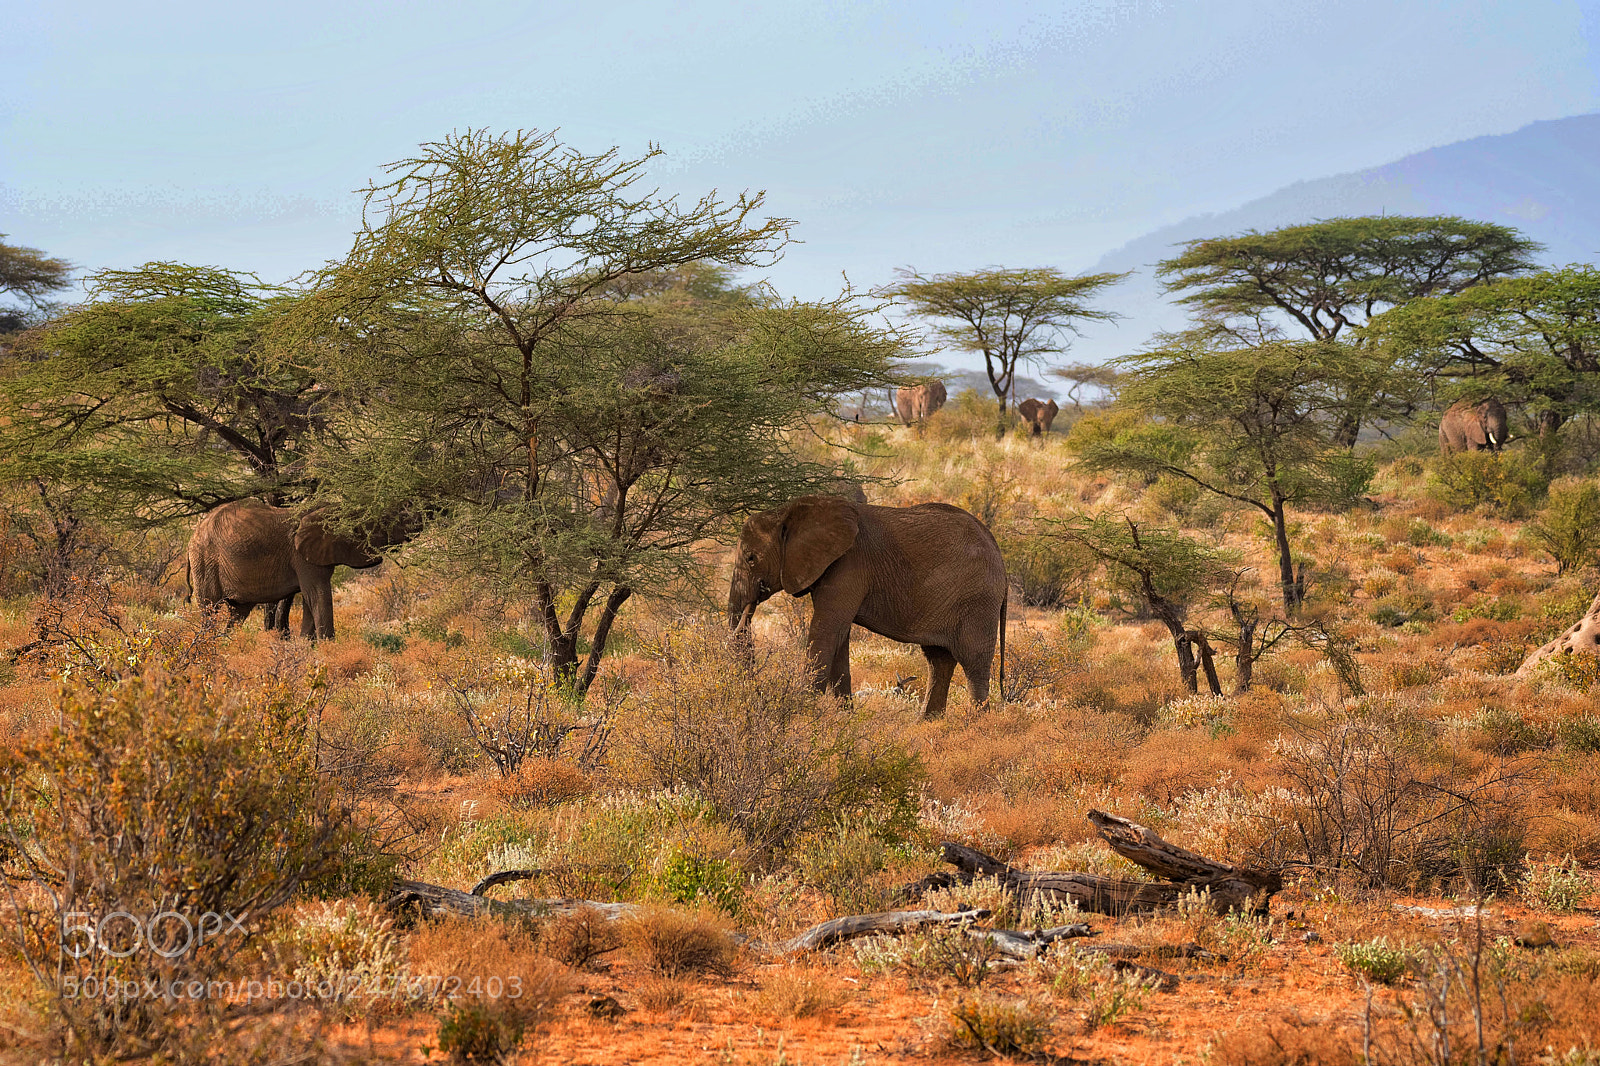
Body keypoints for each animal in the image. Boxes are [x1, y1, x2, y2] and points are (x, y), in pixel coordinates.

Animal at [186, 499, 407, 640]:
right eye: (375, 525)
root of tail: (194, 533)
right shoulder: (302, 558)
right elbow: (317, 596)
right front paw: (329, 650)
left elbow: (311, 600)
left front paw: (304, 647)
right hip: (205, 561)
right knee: (210, 609)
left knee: (238, 613)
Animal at [727, 494, 1007, 718]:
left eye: (751, 558)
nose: (753, 601)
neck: (787, 511)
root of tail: (999, 552)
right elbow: (838, 636)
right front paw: (845, 719)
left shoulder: (849, 565)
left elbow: (827, 630)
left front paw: (801, 712)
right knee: (939, 661)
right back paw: (928, 723)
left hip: (977, 600)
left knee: (973, 664)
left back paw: (977, 723)